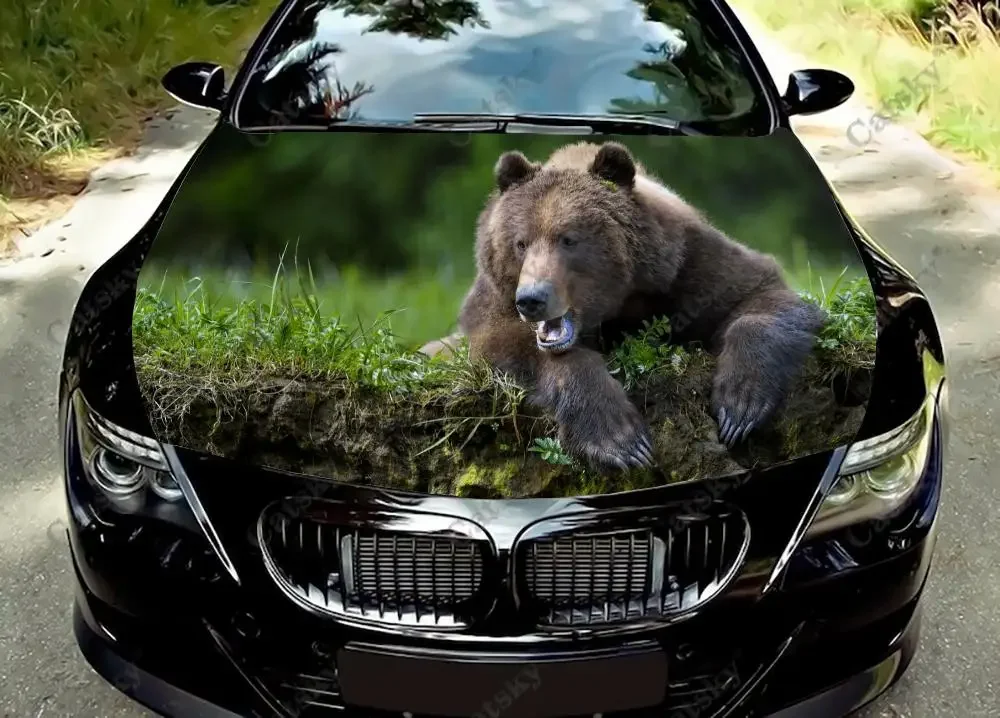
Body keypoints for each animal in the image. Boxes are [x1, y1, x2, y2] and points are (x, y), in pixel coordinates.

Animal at [439, 140, 825, 472]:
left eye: (569, 239)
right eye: (520, 243)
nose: (532, 299)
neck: (620, 302)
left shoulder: (689, 267)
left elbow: (759, 295)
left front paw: (739, 406)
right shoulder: (495, 302)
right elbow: (508, 344)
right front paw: (620, 440)